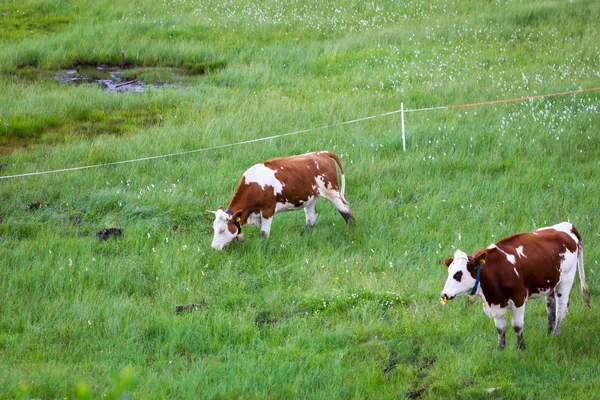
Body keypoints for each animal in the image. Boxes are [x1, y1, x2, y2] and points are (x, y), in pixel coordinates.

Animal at [209, 151, 354, 250]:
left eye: (222, 230)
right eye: (214, 228)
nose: (214, 248)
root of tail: (322, 153)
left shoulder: (267, 211)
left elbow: (264, 232)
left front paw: (263, 247)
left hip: (332, 191)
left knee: (346, 211)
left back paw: (352, 233)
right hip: (310, 197)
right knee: (312, 216)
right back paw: (305, 236)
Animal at [440, 222, 592, 350]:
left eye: (458, 274)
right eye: (449, 273)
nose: (444, 294)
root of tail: (567, 226)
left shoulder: (519, 298)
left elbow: (517, 326)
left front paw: (521, 348)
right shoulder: (496, 302)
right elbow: (500, 328)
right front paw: (501, 349)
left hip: (566, 279)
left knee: (561, 307)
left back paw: (555, 335)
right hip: (550, 283)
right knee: (551, 306)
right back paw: (549, 333)